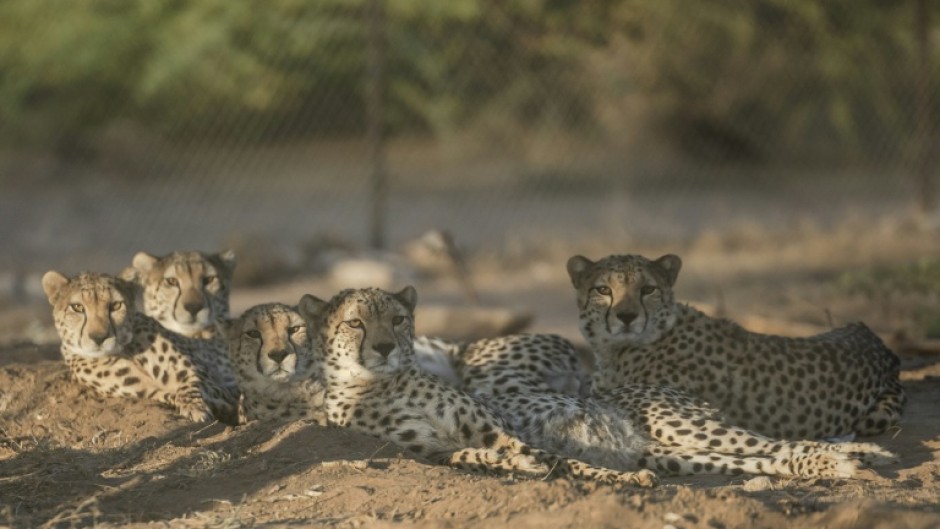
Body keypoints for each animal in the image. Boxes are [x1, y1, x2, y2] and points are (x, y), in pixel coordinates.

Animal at [42, 270, 241, 424]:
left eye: (115, 305)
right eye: (77, 307)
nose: (99, 337)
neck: (124, 350)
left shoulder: (200, 375)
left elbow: (188, 387)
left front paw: (196, 409)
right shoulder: (148, 393)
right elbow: (172, 395)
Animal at [297, 286, 658, 486]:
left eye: (397, 320)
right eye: (354, 323)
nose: (385, 348)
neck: (385, 383)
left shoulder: (498, 431)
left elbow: (561, 459)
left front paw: (622, 477)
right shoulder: (433, 452)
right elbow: (469, 456)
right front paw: (511, 463)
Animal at [453, 333, 896, 479]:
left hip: (681, 424)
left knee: (780, 444)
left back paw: (860, 456)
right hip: (662, 451)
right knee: (771, 457)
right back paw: (842, 465)